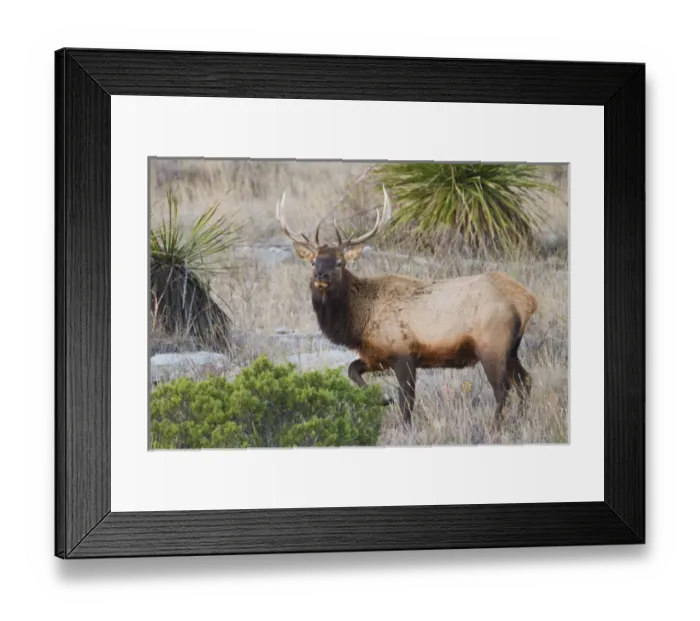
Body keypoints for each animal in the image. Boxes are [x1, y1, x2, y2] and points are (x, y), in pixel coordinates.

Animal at [276, 185, 539, 428]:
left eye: (340, 262)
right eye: (313, 261)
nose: (321, 275)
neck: (359, 322)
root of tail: (527, 301)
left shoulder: (404, 353)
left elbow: (407, 401)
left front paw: (403, 424)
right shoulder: (377, 354)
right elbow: (352, 369)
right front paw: (382, 399)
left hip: (492, 344)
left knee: (502, 389)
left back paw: (496, 427)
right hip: (511, 348)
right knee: (525, 382)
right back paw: (521, 421)